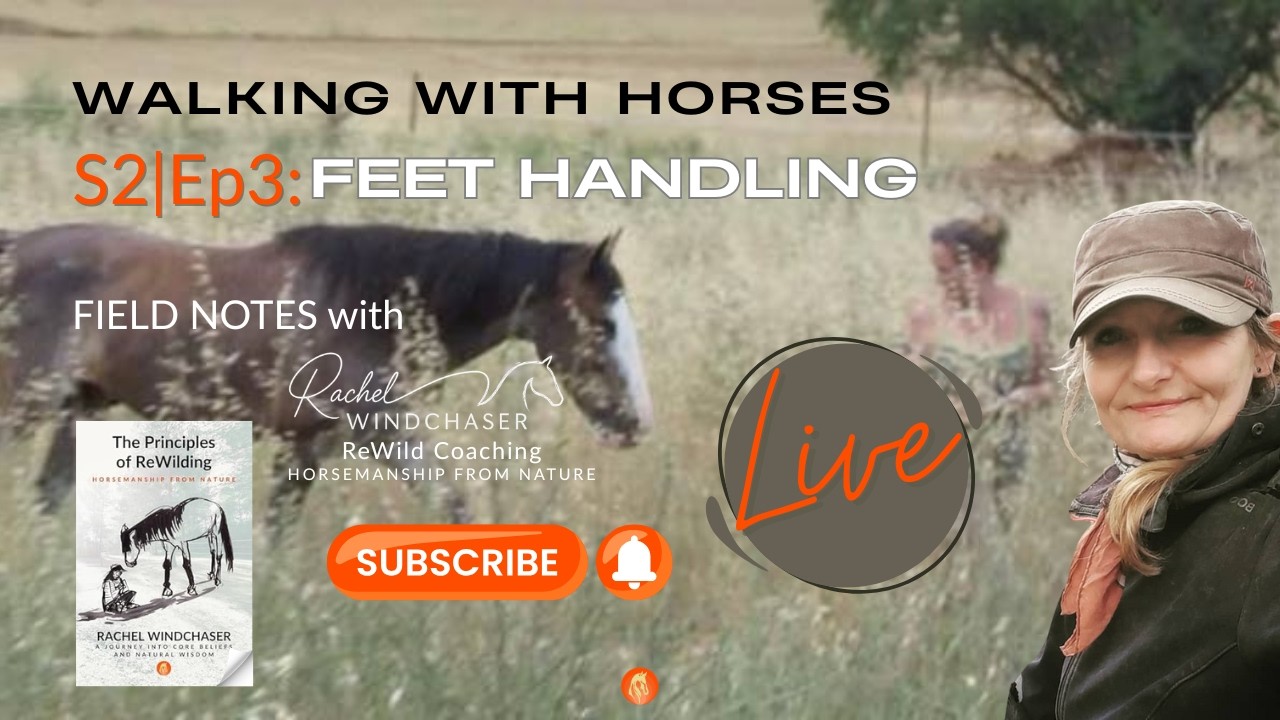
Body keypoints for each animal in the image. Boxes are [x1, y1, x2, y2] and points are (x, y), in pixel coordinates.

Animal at [0, 222, 654, 533]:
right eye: (602, 324)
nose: (635, 424)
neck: (366, 309)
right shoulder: (368, 432)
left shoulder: (318, 444)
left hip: (80, 408)